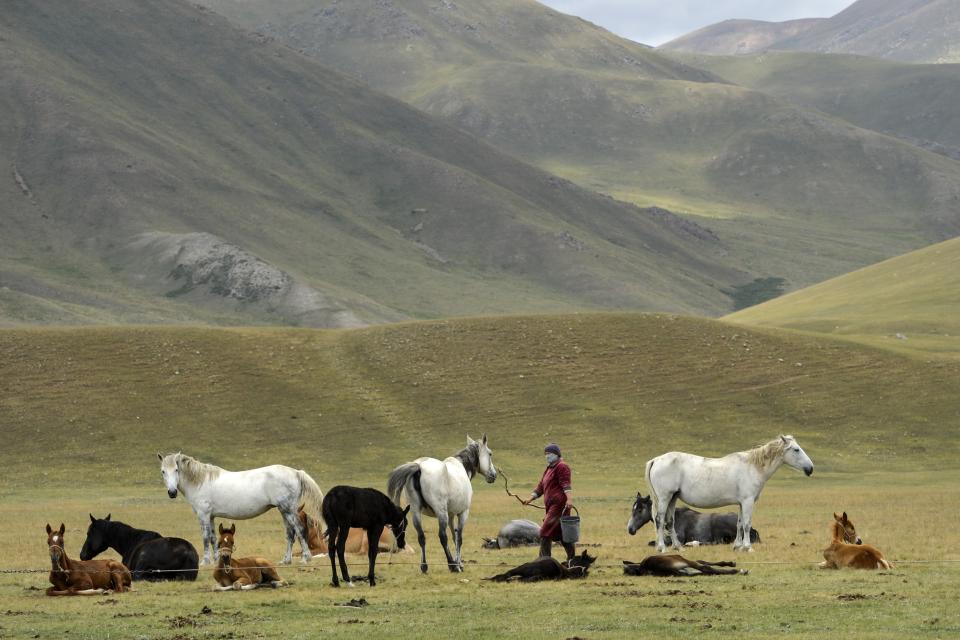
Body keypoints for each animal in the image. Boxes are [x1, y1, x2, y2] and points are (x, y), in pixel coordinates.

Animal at [156, 450, 324, 564]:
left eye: (176, 470)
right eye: (163, 471)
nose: (172, 492)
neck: (201, 481)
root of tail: (296, 472)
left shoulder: (203, 515)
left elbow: (205, 538)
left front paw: (205, 561)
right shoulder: (211, 516)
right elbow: (213, 538)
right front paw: (217, 560)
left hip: (288, 510)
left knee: (299, 530)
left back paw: (305, 558)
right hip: (284, 511)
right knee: (290, 533)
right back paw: (286, 560)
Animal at [386, 436, 498, 576]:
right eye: (490, 453)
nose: (494, 475)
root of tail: (419, 466)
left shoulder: (451, 516)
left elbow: (454, 537)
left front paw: (459, 563)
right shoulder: (462, 514)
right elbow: (459, 538)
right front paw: (458, 565)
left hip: (416, 511)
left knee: (421, 537)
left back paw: (424, 567)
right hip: (441, 513)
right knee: (442, 537)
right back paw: (452, 565)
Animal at [644, 438, 808, 552]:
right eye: (796, 449)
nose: (810, 468)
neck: (752, 467)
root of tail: (656, 460)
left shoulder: (742, 503)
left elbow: (740, 524)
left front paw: (738, 546)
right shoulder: (748, 502)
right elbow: (747, 524)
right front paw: (748, 547)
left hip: (672, 498)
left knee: (669, 521)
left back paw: (678, 547)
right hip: (664, 498)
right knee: (660, 520)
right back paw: (662, 548)